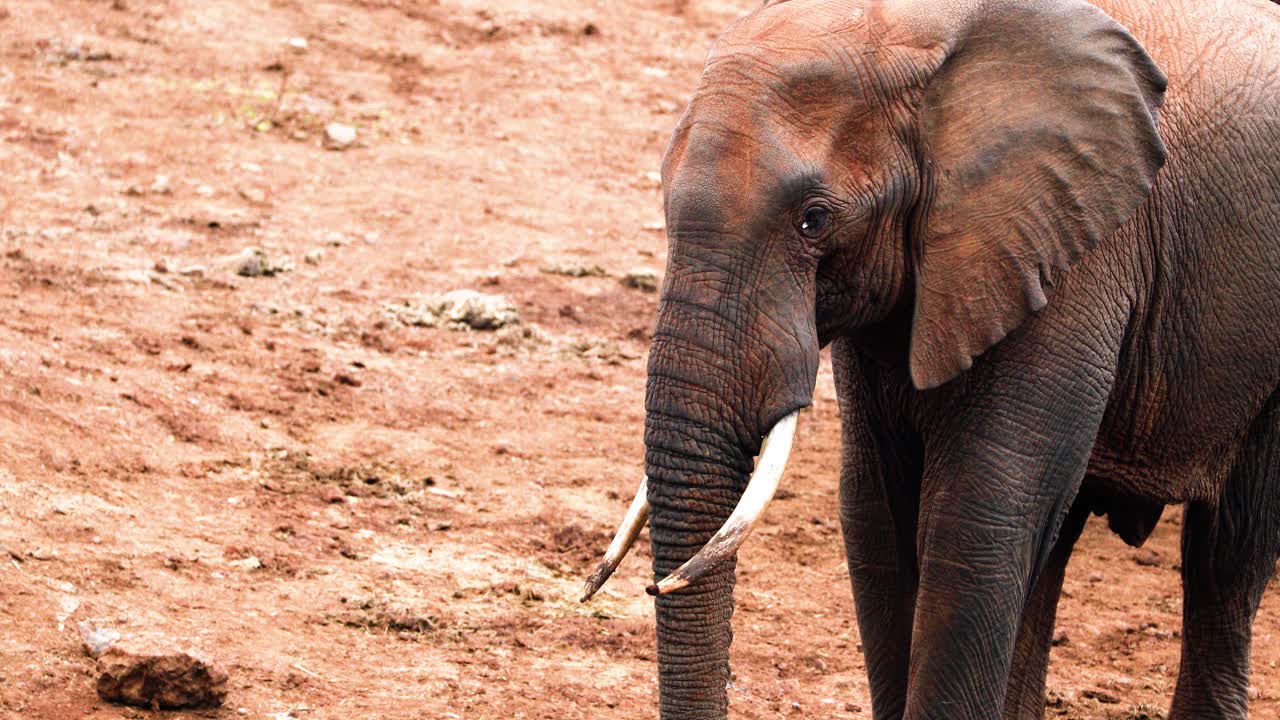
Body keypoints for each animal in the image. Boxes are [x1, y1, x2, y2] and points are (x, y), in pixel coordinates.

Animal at [581, 0, 1280, 718]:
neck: (918, 32)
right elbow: (875, 513)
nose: (654, 587)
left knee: (1225, 559)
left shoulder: (1069, 251)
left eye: (814, 220)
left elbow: (976, 518)